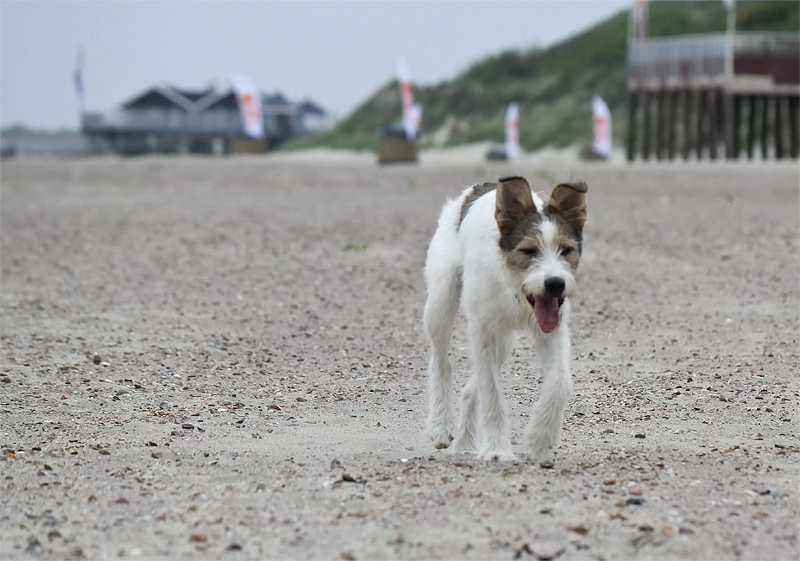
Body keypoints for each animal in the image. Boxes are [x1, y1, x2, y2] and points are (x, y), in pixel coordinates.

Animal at [424, 177, 588, 462]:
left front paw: (540, 438)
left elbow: (560, 382)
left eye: (566, 250)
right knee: (441, 363)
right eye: (529, 251)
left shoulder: (552, 331)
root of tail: (482, 185)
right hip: (441, 305)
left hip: (503, 343)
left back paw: (465, 442)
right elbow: (491, 393)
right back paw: (441, 426)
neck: (512, 289)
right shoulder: (481, 331)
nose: (555, 284)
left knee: (469, 389)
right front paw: (496, 450)